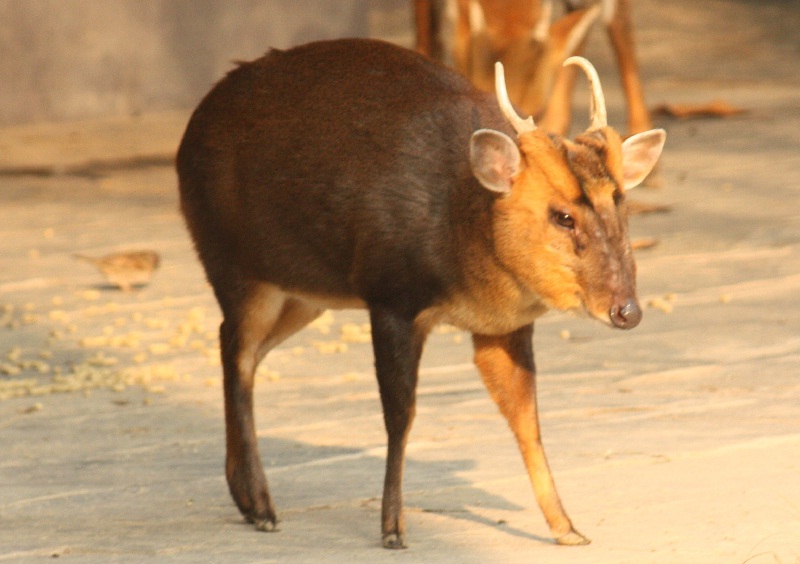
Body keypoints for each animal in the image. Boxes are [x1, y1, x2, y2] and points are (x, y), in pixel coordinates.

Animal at [178, 37, 664, 548]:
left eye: (622, 205)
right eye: (562, 216)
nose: (627, 310)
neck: (461, 230)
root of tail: (193, 124)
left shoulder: (504, 325)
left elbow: (526, 419)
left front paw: (566, 527)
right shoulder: (391, 296)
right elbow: (401, 414)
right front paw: (393, 528)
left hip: (302, 294)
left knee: (240, 350)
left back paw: (246, 499)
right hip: (231, 263)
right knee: (237, 351)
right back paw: (262, 506)